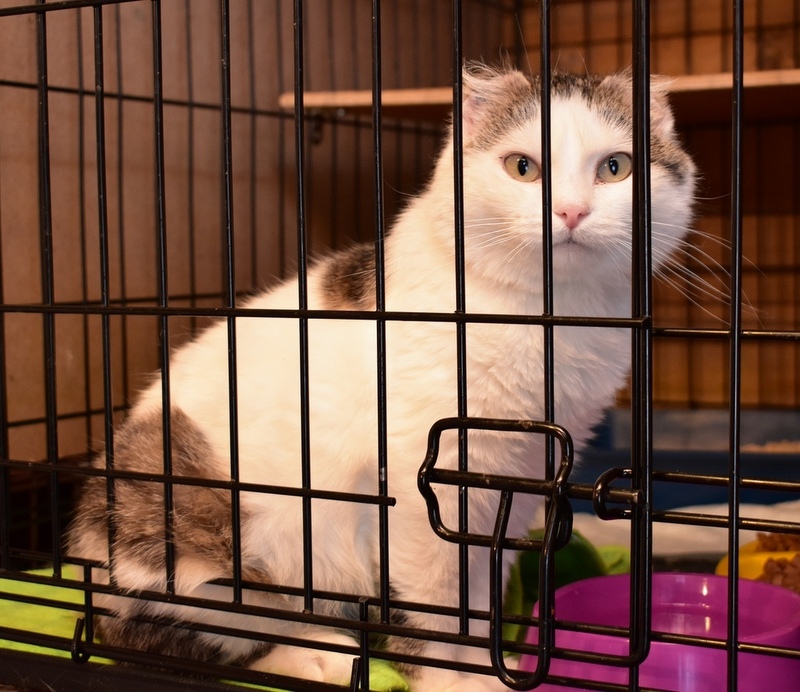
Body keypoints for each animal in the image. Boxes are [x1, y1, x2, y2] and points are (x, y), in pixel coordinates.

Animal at [67, 64, 697, 691]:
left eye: (615, 167)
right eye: (523, 167)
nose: (570, 211)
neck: (550, 318)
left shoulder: (516, 481)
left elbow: (481, 584)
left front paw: (489, 660)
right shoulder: (423, 483)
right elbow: (438, 594)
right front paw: (452, 676)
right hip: (206, 543)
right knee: (180, 639)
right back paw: (319, 656)